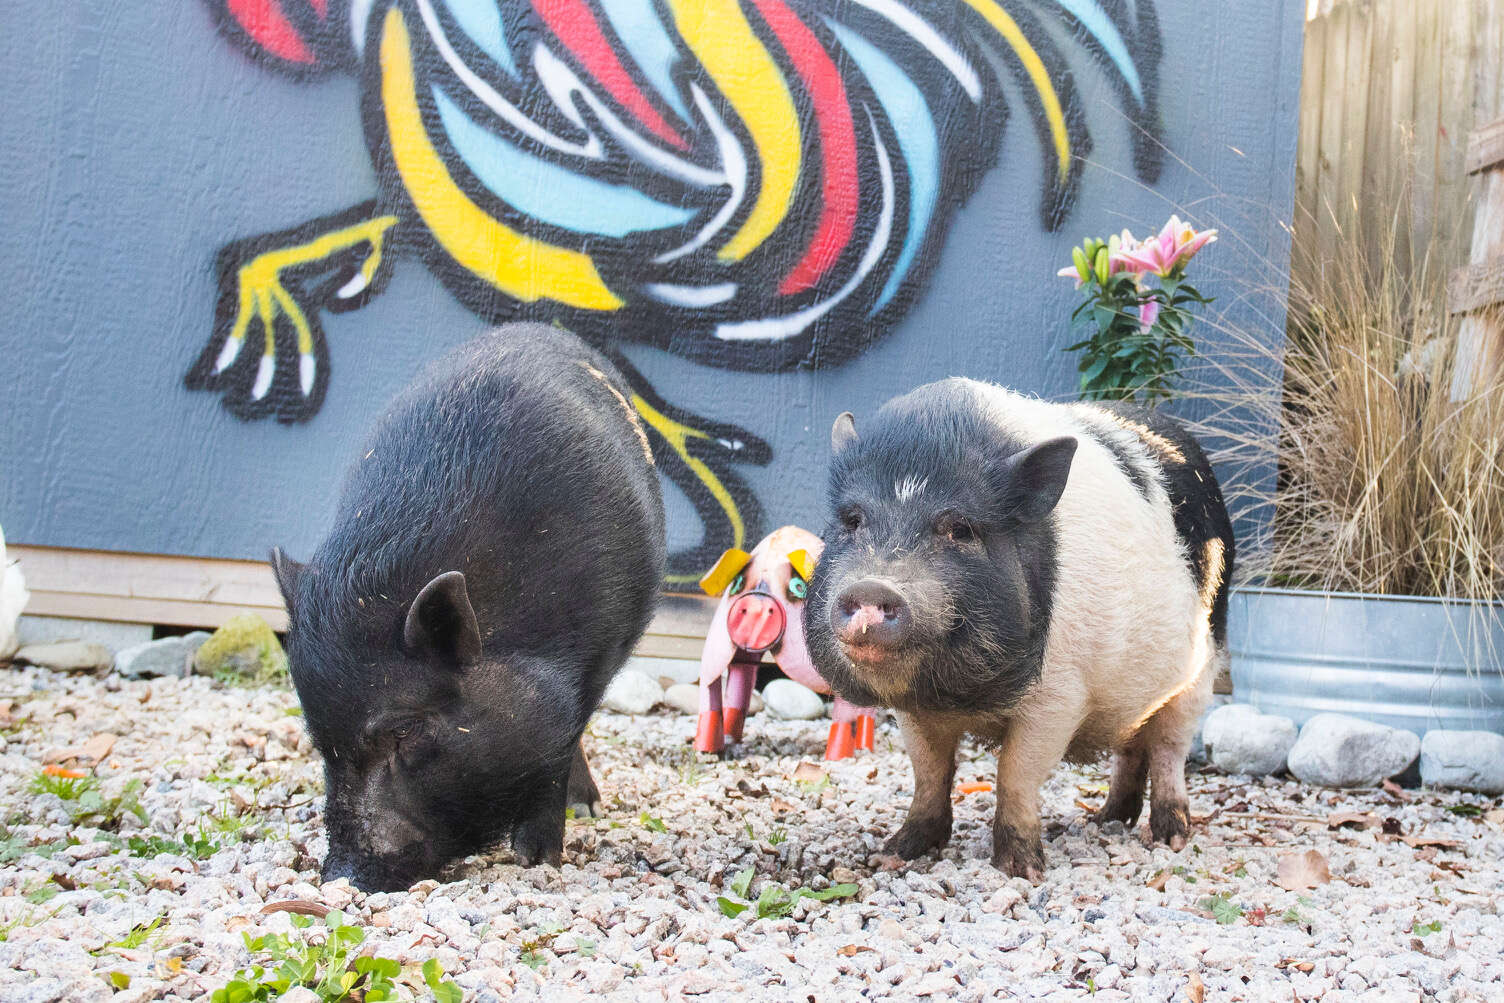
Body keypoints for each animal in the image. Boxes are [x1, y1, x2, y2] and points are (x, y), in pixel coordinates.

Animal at [269, 326, 664, 890]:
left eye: (404, 730)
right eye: (321, 743)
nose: (342, 877)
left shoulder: (598, 652)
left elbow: (560, 748)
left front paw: (537, 859)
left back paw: (585, 810)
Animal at [812, 380, 1233, 884]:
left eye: (960, 529)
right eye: (852, 521)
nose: (872, 586)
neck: (961, 697)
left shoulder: (1060, 696)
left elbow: (1015, 773)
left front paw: (1022, 872)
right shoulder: (915, 710)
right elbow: (929, 772)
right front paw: (895, 852)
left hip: (1201, 666)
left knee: (1170, 748)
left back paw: (1170, 838)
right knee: (1131, 747)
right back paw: (1107, 820)